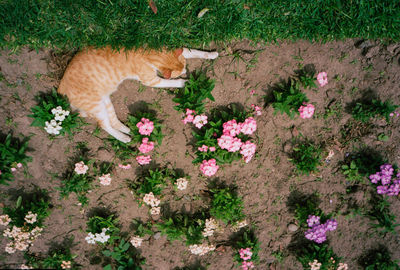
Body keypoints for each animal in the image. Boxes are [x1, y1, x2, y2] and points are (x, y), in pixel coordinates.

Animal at [57, 47, 217, 142]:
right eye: (181, 72)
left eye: (184, 66)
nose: (185, 71)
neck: (146, 54)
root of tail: (60, 89)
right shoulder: (151, 81)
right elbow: (170, 82)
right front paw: (184, 82)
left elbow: (194, 51)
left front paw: (211, 54)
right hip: (96, 106)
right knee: (104, 126)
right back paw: (124, 138)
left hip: (105, 103)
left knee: (113, 121)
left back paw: (130, 130)